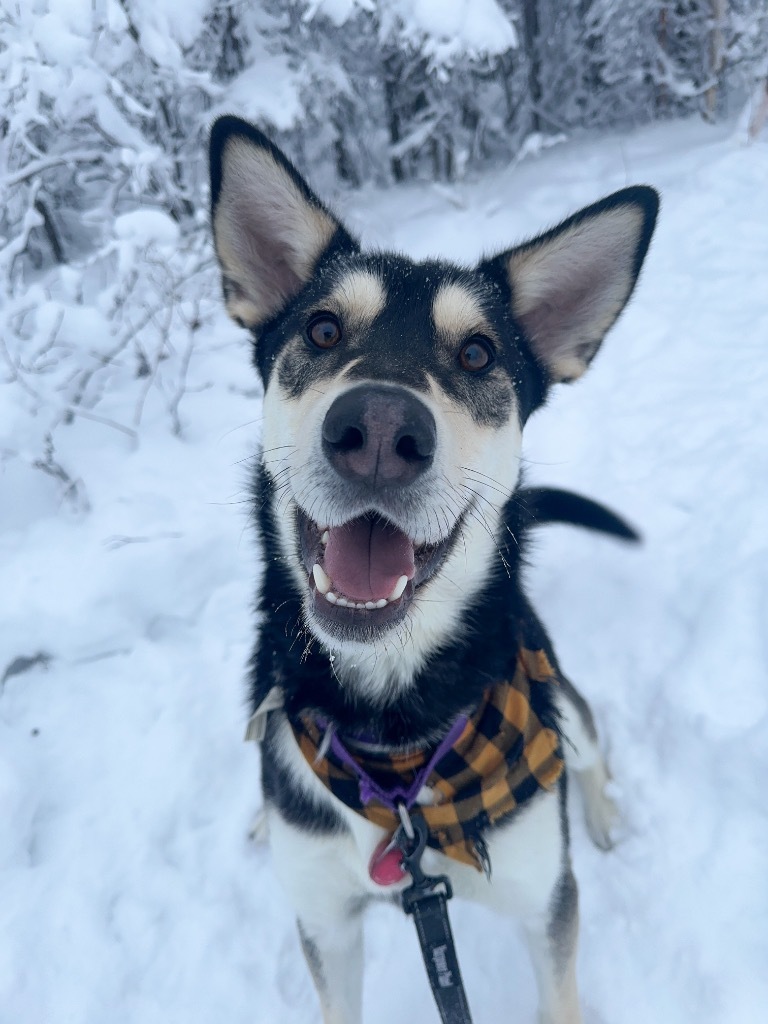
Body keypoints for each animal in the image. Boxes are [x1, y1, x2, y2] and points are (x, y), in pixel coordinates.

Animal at [210, 112, 663, 1024]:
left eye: (480, 354)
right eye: (322, 330)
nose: (381, 430)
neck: (394, 747)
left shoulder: (544, 901)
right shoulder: (326, 924)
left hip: (559, 696)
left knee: (591, 742)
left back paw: (600, 811)